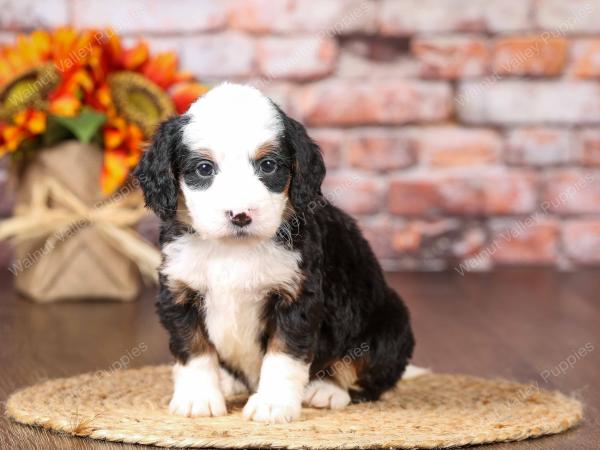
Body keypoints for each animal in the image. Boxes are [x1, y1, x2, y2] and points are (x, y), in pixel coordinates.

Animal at [134, 82, 414, 424]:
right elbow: (194, 349)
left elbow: (283, 356)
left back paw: (327, 389)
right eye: (203, 169)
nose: (240, 215)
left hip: (390, 322)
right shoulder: (179, 291)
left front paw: (273, 404)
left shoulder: (297, 297)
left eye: (268, 165)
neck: (233, 250)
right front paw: (198, 398)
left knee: (366, 375)